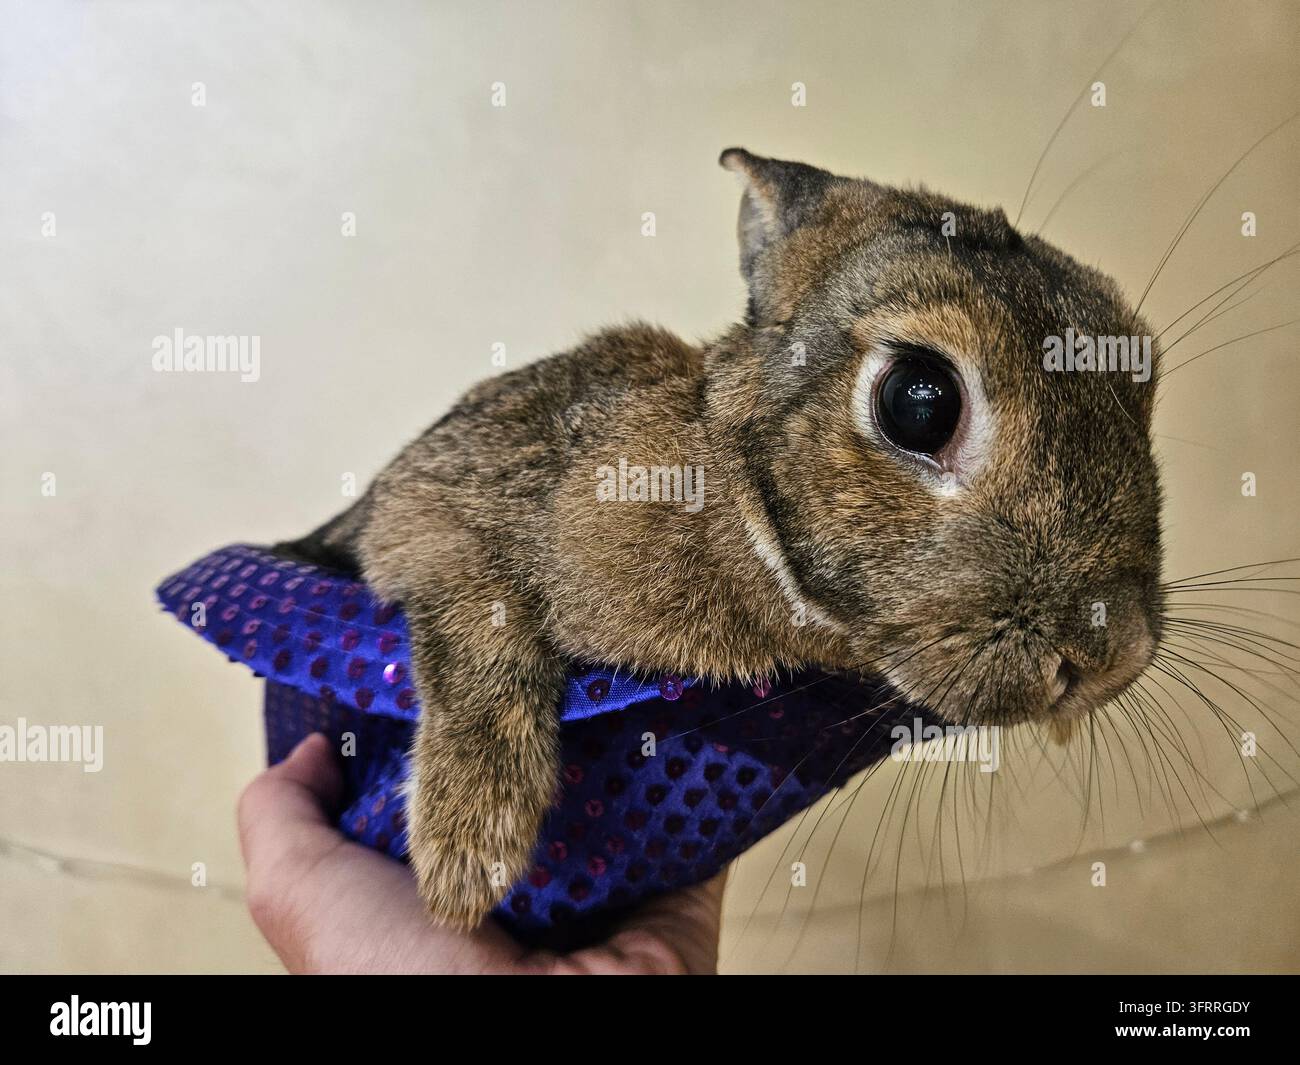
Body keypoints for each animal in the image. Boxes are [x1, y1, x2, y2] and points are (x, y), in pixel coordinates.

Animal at [276, 148, 1164, 928]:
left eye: (1142, 371)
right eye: (920, 401)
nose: (1111, 654)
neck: (736, 494)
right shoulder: (430, 510)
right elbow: (478, 612)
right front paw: (466, 860)